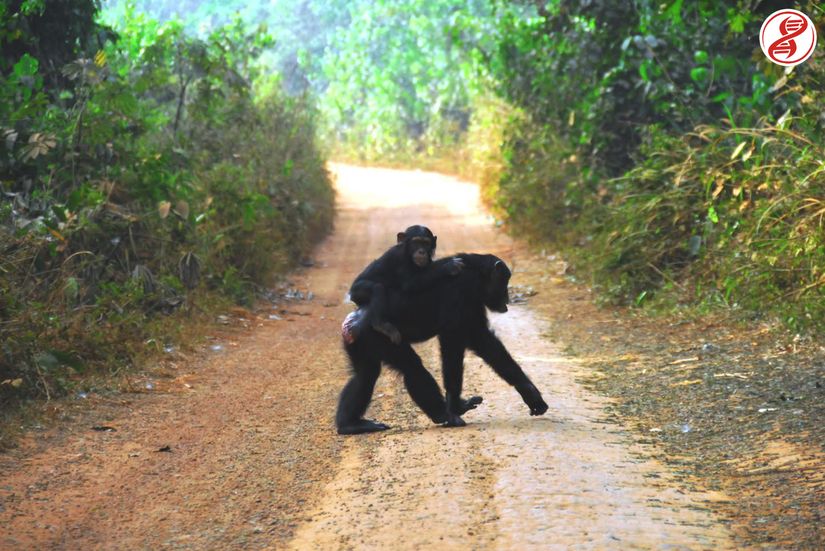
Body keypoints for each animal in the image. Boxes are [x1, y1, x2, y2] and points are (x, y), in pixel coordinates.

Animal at [334, 253, 548, 436]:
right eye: (504, 281)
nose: (507, 297)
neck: (476, 276)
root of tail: (352, 320)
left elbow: (484, 341)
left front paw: (529, 391)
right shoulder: (460, 292)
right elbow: (452, 343)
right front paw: (455, 405)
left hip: (360, 343)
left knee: (365, 376)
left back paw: (350, 424)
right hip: (379, 337)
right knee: (412, 368)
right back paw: (444, 414)